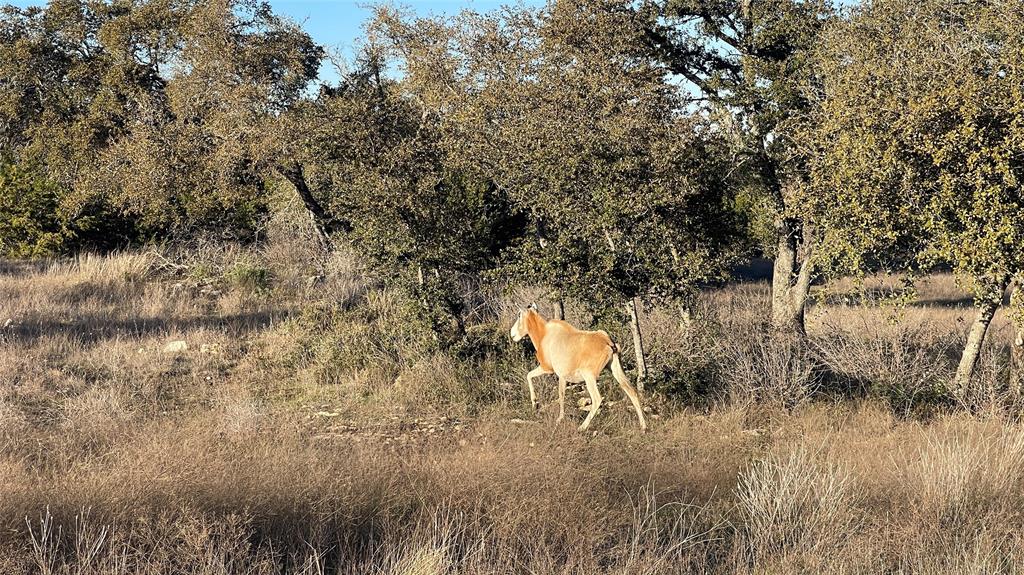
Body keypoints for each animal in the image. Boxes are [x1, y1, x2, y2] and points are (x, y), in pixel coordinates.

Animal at [509, 304, 647, 429]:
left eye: (519, 314)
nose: (512, 334)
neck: (544, 333)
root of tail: (608, 342)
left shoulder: (548, 369)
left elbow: (556, 392)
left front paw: (540, 406)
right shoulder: (560, 376)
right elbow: (554, 390)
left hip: (589, 376)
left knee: (597, 399)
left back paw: (582, 427)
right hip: (615, 369)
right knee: (632, 391)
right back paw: (644, 427)